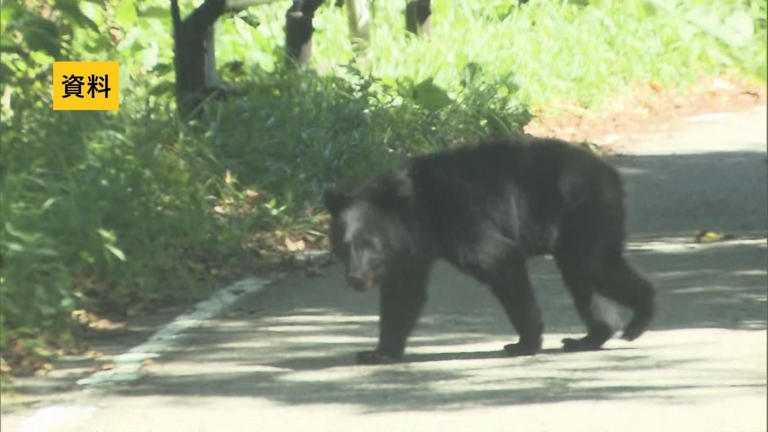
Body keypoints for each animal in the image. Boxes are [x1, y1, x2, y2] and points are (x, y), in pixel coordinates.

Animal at [324, 136, 656, 364]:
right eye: (344, 245)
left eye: (370, 244)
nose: (356, 278)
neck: (417, 210)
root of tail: (611, 174)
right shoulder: (410, 250)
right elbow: (403, 294)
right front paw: (379, 352)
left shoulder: (461, 216)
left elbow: (497, 259)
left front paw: (524, 343)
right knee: (581, 277)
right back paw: (589, 336)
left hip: (584, 210)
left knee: (594, 265)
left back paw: (639, 318)